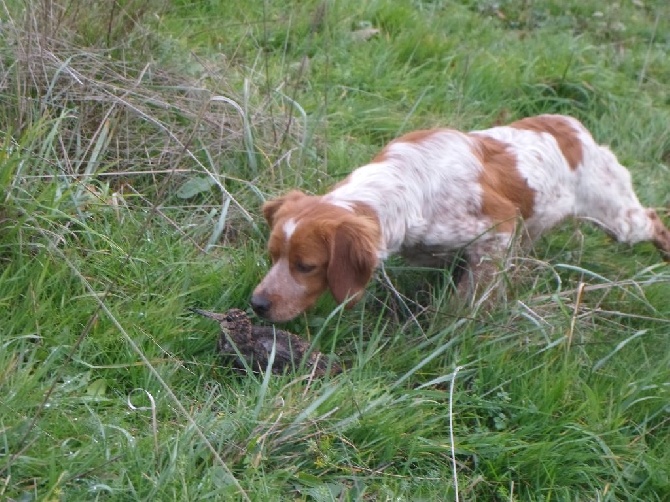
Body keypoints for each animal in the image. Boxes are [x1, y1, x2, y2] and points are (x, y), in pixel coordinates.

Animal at [249, 113, 668, 322]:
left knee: (651, 219)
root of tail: (574, 127)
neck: (409, 188)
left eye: (306, 266)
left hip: (619, 218)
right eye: (272, 257)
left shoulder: (498, 230)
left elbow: (467, 300)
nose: (257, 304)